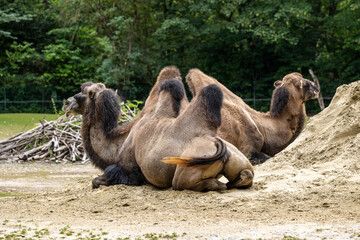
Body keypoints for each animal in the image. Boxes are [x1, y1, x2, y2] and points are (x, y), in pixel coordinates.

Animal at [89, 79, 253, 192]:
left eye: (86, 93)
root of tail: (215, 142)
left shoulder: (128, 169)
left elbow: (105, 176)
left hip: (184, 172)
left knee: (179, 184)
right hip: (238, 159)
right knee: (247, 174)